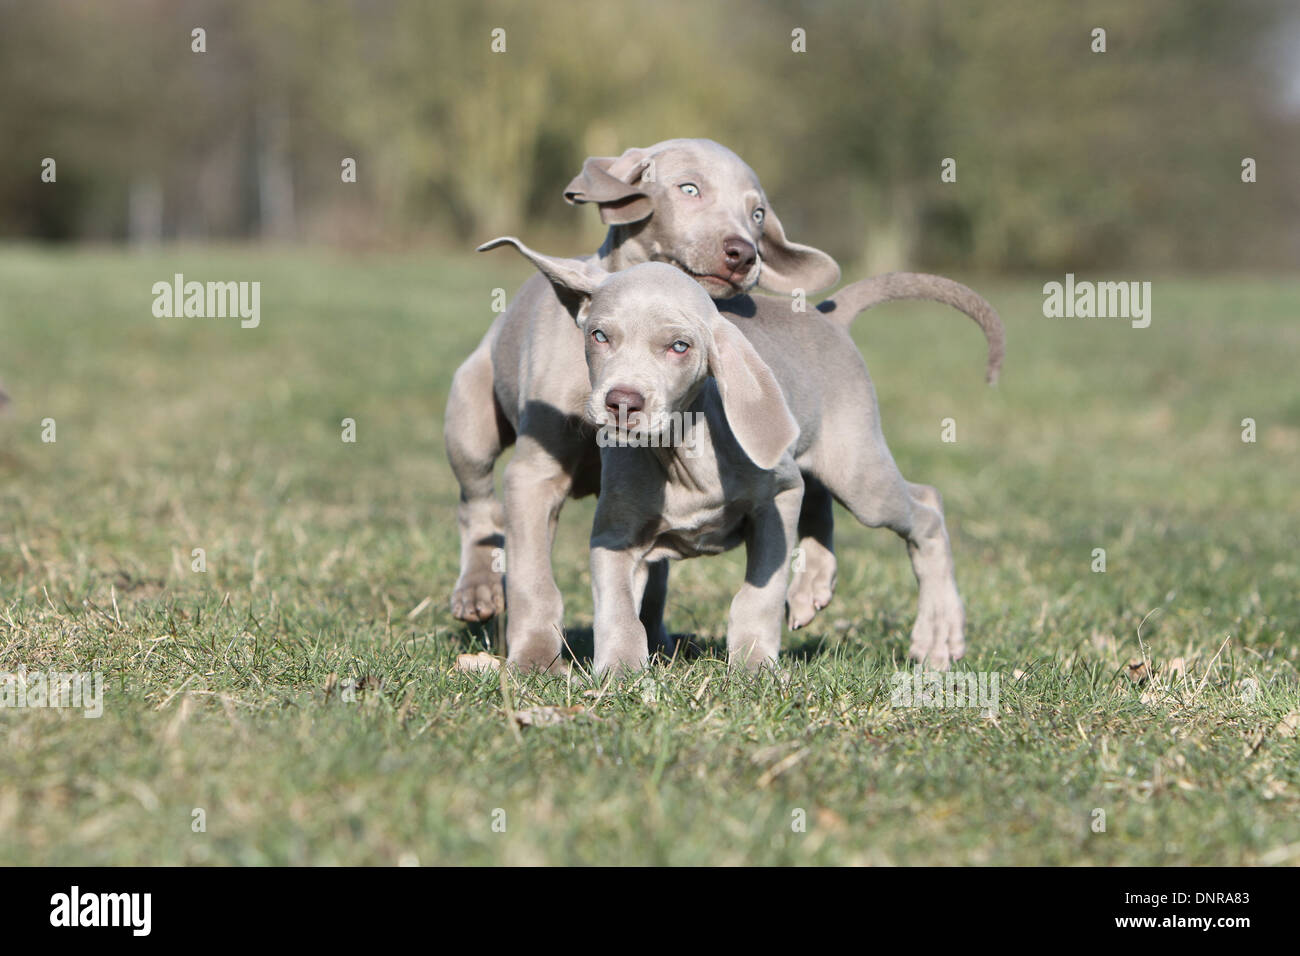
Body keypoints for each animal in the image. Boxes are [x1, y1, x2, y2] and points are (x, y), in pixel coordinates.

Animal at [447, 140, 842, 671]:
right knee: (476, 502)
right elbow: (533, 577)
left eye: (758, 213)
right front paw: (533, 659)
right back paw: (478, 590)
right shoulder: (535, 472)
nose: (744, 253)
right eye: (689, 189)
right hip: (470, 415)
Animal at [483, 239, 998, 671]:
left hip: (857, 469)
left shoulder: (776, 500)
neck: (682, 454)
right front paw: (621, 672)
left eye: (679, 346)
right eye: (599, 336)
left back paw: (938, 636)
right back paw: (814, 584)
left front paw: (753, 666)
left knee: (925, 507)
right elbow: (618, 608)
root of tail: (826, 319)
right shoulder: (615, 533)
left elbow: (757, 595)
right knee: (822, 493)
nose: (622, 402)